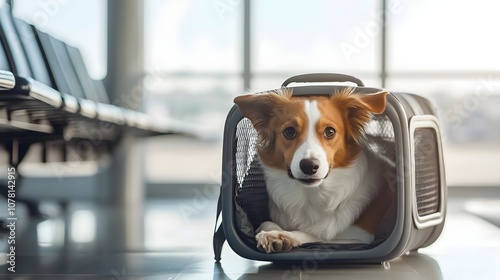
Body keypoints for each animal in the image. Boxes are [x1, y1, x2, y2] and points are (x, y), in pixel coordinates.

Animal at [234, 87, 394, 254]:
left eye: (330, 131)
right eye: (289, 132)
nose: (309, 166)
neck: (311, 194)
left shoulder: (359, 240)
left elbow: (317, 237)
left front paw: (281, 235)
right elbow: (264, 222)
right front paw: (272, 232)